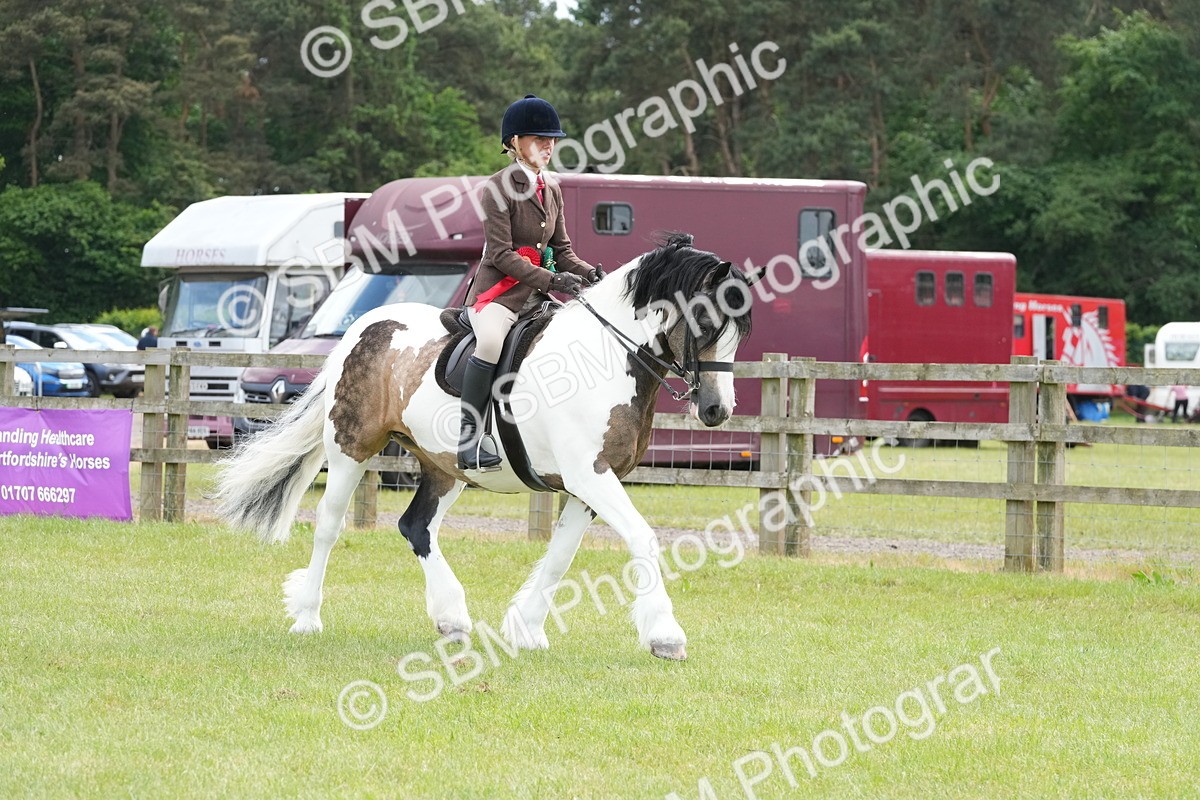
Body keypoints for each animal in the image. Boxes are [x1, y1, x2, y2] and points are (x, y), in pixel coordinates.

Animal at [214, 233, 754, 660]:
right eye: (706, 322)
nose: (716, 410)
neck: (604, 357)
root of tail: (361, 329)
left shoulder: (589, 483)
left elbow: (561, 554)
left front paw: (527, 628)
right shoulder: (590, 475)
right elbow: (642, 537)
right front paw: (665, 635)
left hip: (445, 466)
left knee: (416, 526)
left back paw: (452, 618)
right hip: (351, 448)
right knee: (329, 525)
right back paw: (308, 616)